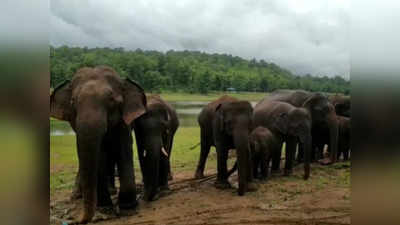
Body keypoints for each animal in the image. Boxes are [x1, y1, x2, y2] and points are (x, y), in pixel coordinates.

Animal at [49, 65, 147, 223]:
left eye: (112, 100)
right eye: (73, 102)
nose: (78, 220)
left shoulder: (123, 122)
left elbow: (123, 150)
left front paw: (128, 207)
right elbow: (99, 156)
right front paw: (105, 208)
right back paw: (77, 196)